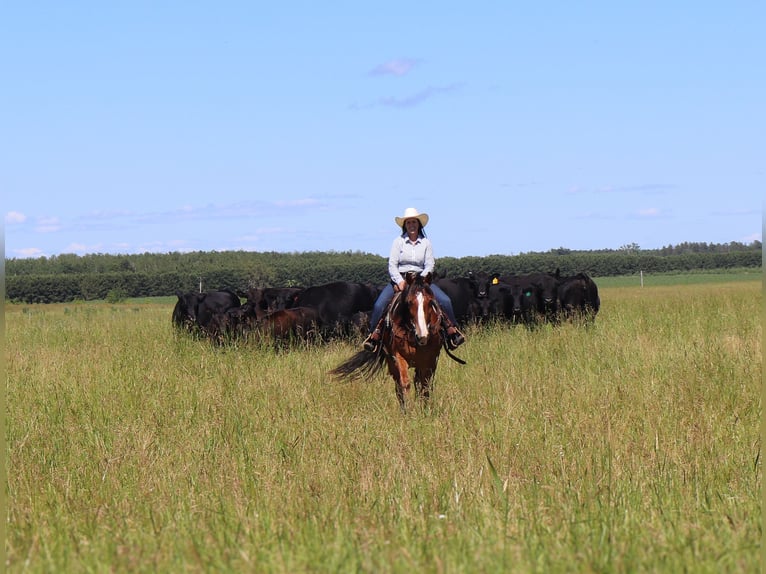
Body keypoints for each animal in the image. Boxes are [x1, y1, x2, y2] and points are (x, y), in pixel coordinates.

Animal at [328, 272, 464, 412]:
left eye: (431, 301)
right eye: (409, 302)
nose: (423, 336)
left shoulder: (431, 358)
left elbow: (425, 385)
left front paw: (425, 410)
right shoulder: (397, 356)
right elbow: (404, 383)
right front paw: (408, 410)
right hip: (391, 362)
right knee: (399, 384)